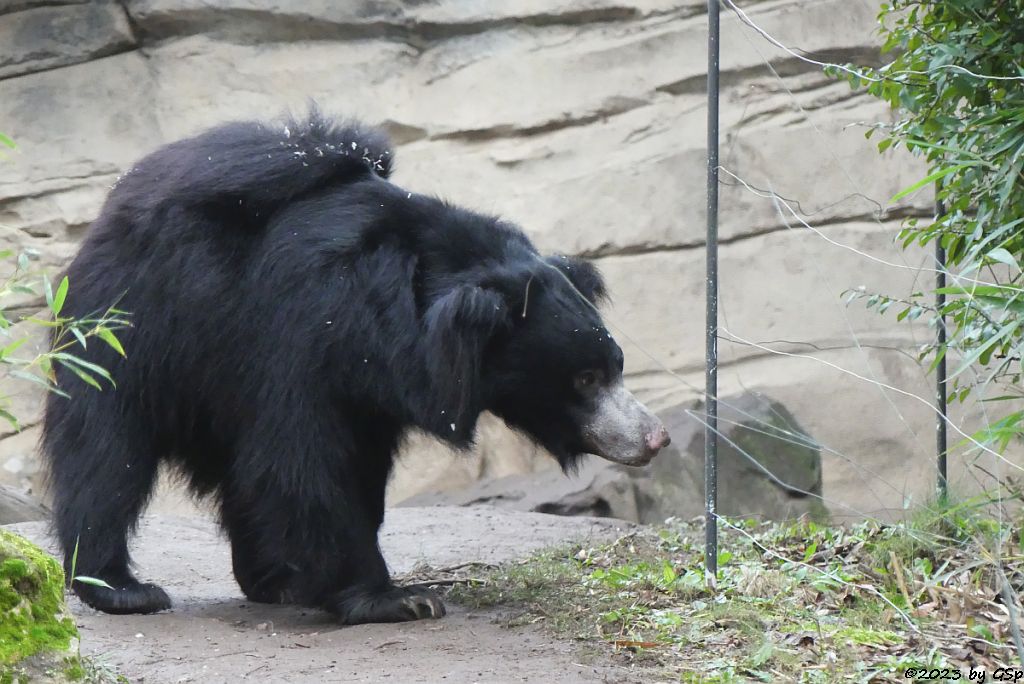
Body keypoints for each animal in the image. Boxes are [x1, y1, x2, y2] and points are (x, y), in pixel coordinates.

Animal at [44, 111, 671, 626]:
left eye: (615, 365)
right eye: (585, 379)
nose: (655, 437)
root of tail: (117, 204)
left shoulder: (372, 387)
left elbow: (353, 467)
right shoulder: (301, 335)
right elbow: (306, 464)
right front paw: (396, 599)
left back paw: (271, 581)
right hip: (129, 326)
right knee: (107, 452)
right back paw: (121, 588)